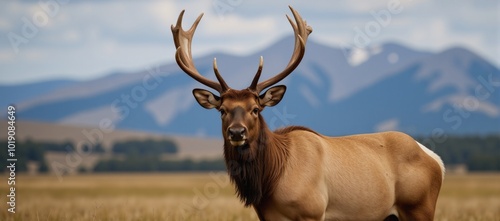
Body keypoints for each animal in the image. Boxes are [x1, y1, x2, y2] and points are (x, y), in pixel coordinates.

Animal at [170, 6, 444, 220]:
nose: (237, 132)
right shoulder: (268, 217)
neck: (270, 180)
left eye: (255, 109)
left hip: (419, 206)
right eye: (222, 110)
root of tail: (435, 160)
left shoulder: (313, 210)